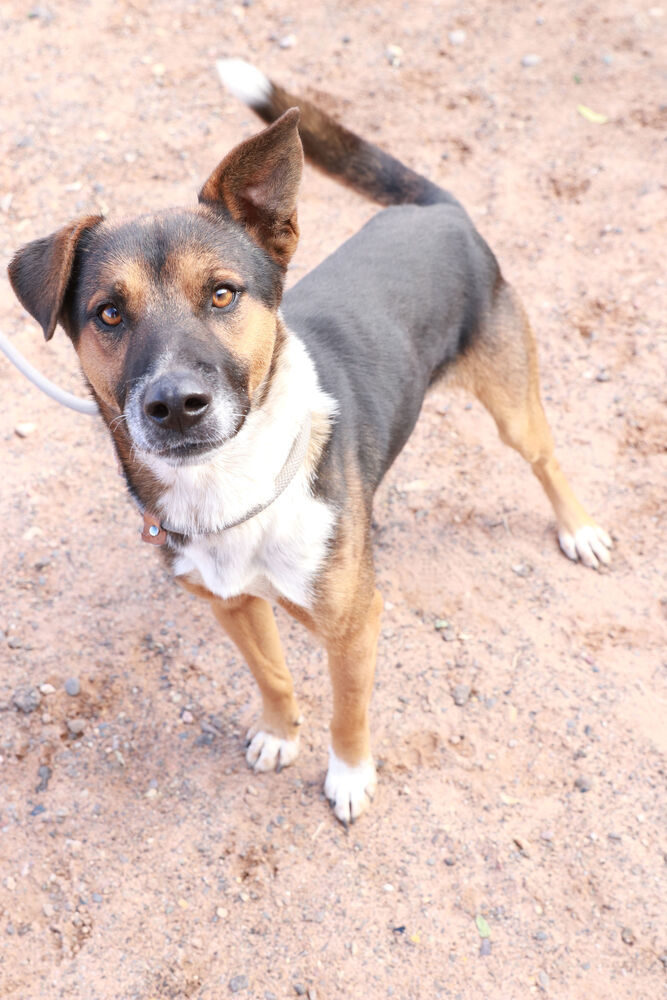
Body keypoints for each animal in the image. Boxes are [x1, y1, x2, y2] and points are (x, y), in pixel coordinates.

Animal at [6, 62, 612, 824]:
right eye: (108, 313)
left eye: (223, 294)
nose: (174, 406)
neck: (232, 485)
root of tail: (436, 209)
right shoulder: (231, 604)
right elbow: (271, 675)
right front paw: (278, 733)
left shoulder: (354, 627)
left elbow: (348, 711)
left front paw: (348, 775)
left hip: (511, 400)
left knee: (544, 458)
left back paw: (579, 529)